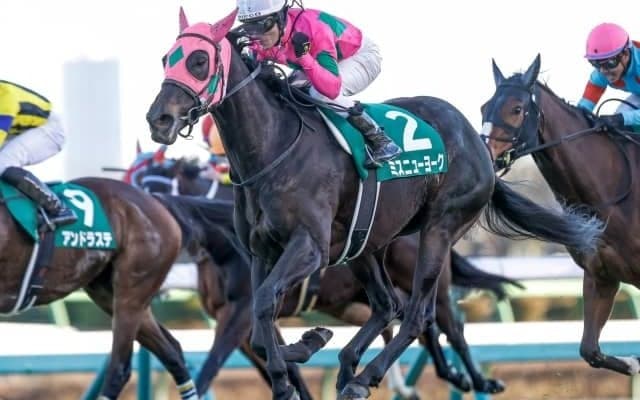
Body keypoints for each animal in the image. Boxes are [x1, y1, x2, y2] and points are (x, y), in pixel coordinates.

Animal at [135, 157, 521, 396]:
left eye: (156, 184)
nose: (148, 222)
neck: (224, 244)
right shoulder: (243, 319)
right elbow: (277, 359)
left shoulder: (239, 313)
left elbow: (213, 366)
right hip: (353, 301)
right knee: (414, 324)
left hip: (432, 280)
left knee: (448, 327)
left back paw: (478, 380)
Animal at [481, 54, 640, 376]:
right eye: (483, 107)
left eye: (517, 109)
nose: (484, 152)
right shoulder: (600, 276)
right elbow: (590, 350)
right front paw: (632, 363)